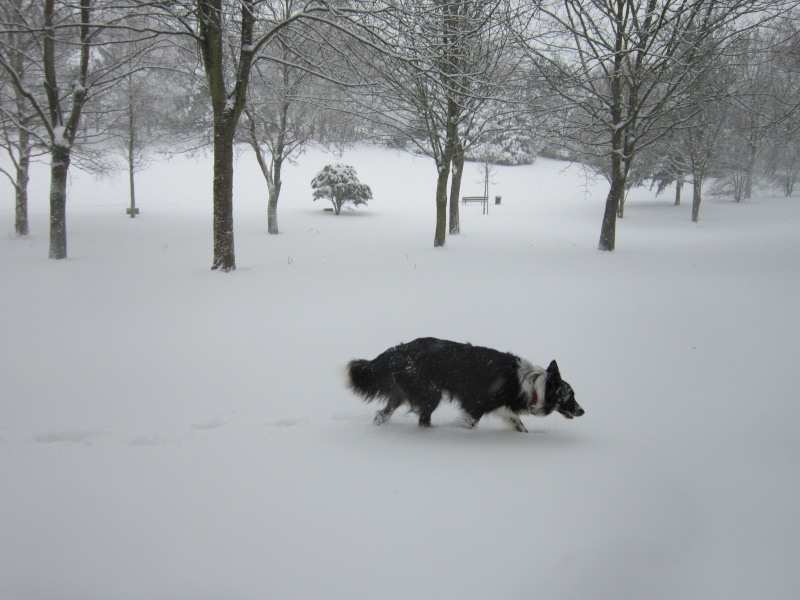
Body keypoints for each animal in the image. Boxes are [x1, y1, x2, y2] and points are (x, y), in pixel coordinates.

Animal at [346, 338, 584, 432]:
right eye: (569, 396)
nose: (582, 411)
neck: (535, 385)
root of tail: (399, 350)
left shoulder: (504, 410)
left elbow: (520, 426)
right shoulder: (476, 406)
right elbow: (471, 425)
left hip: (403, 393)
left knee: (382, 413)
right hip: (431, 394)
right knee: (423, 420)